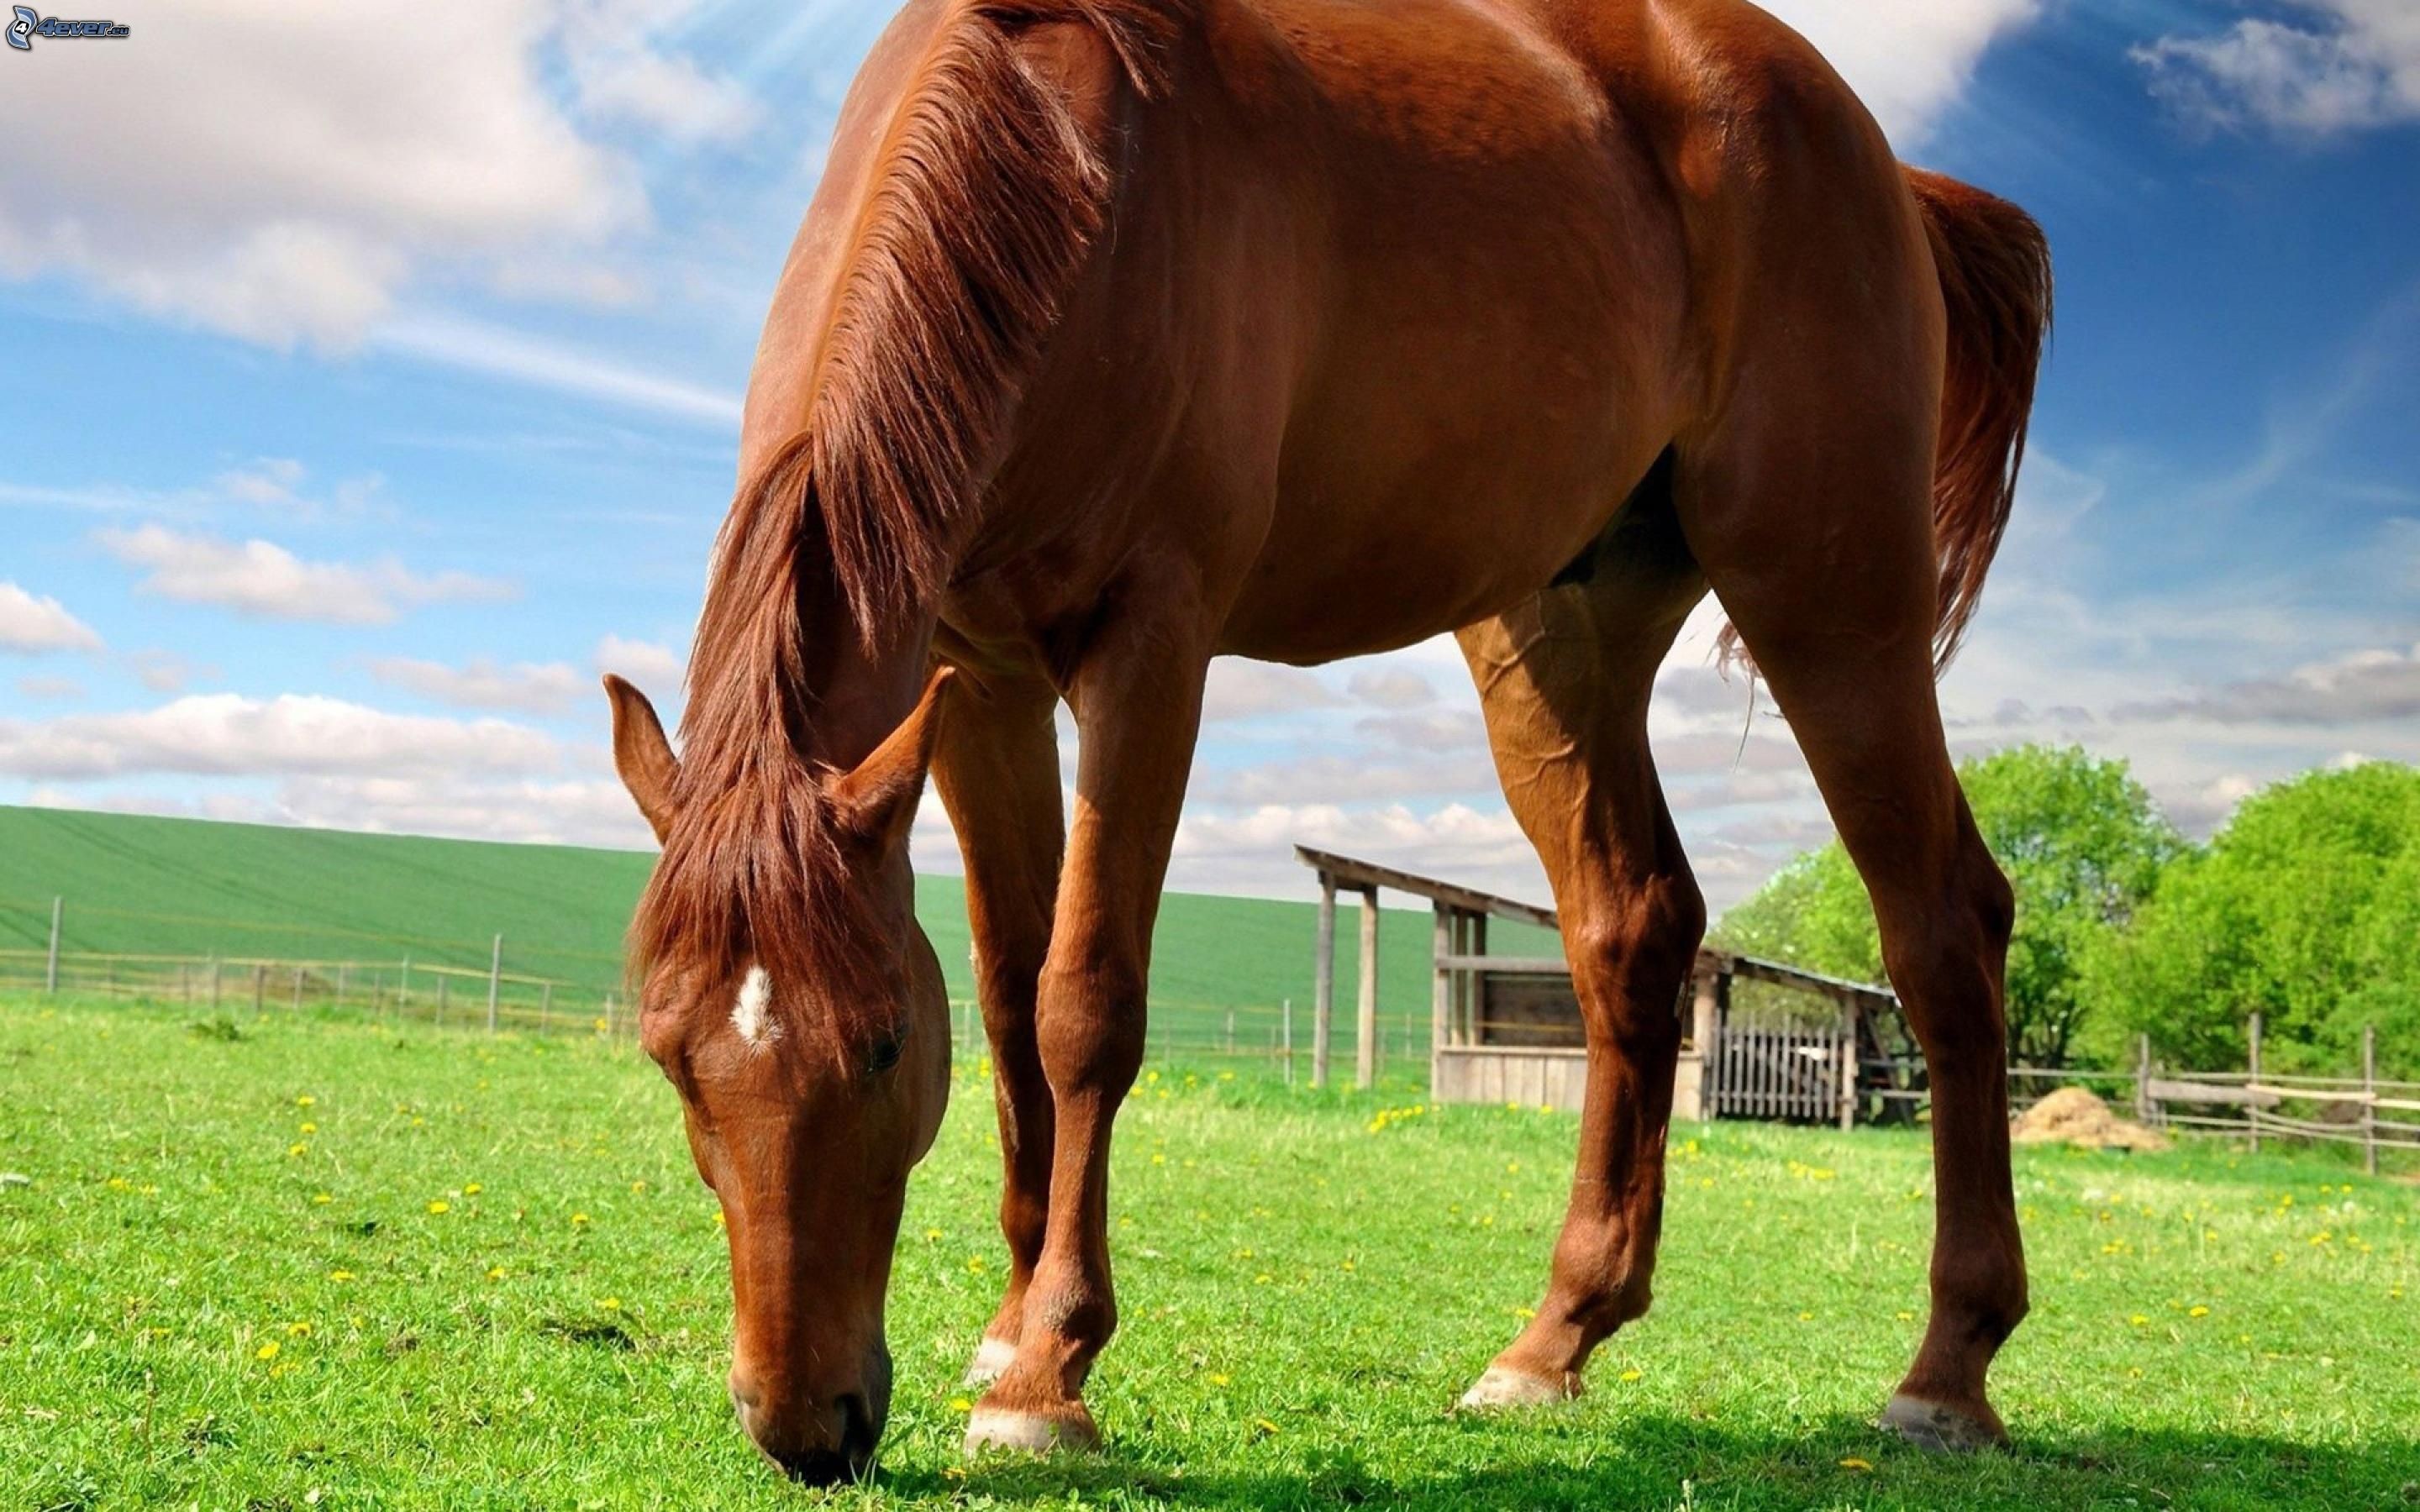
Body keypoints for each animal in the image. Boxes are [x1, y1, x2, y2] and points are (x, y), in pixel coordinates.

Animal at [602, 0, 2051, 1482]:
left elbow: (1083, 1005)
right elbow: (1009, 1006)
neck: (1071, 169)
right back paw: (1554, 1342)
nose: (804, 1428)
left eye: (885, 1046)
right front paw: (1008, 1333)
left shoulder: (1152, 642)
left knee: (1946, 929)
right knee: (1632, 929)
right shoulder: (974, 683)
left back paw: (1948, 1369)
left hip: (1832, 606)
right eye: (668, 1056)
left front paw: (1051, 1371)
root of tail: (1882, 162)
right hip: (1559, 640)